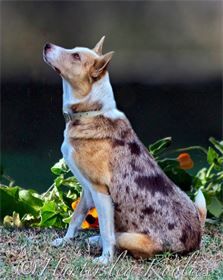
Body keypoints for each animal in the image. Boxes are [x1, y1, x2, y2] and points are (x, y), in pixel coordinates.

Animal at [42, 36, 206, 264]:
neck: (91, 112)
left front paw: (105, 259)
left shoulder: (100, 191)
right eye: (74, 51)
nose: (46, 45)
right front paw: (66, 241)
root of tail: (196, 235)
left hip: (132, 238)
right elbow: (76, 218)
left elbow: (106, 230)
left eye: (75, 56)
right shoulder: (87, 189)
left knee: (116, 237)